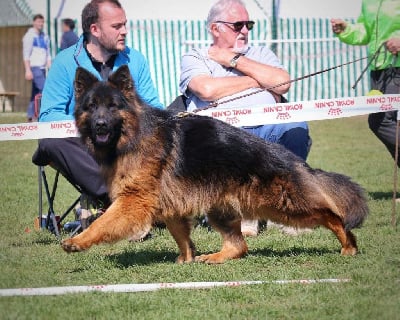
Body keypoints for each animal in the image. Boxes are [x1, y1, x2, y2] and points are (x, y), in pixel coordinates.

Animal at [61, 64, 370, 262]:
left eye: (112, 107)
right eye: (91, 107)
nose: (100, 125)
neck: (134, 135)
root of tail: (294, 161)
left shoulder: (133, 201)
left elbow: (101, 223)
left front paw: (77, 241)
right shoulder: (168, 204)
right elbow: (180, 235)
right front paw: (186, 259)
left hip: (283, 205)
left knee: (332, 216)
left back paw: (349, 245)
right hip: (220, 208)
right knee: (239, 246)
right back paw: (216, 257)